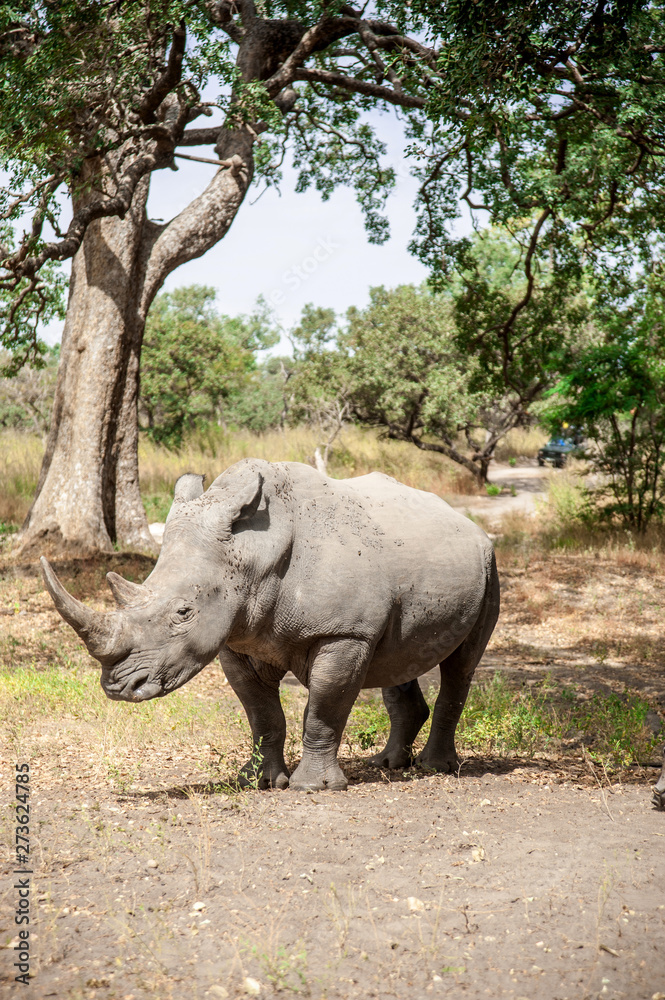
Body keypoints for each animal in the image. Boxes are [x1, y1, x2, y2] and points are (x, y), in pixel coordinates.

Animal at [41, 459, 500, 791]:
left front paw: (314, 789)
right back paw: (387, 764)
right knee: (398, 657)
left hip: (489, 563)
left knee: (460, 665)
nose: (119, 687)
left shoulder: (343, 631)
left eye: (184, 612)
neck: (254, 551)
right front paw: (258, 782)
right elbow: (261, 714)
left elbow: (324, 709)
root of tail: (468, 522)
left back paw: (435, 768)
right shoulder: (236, 637)